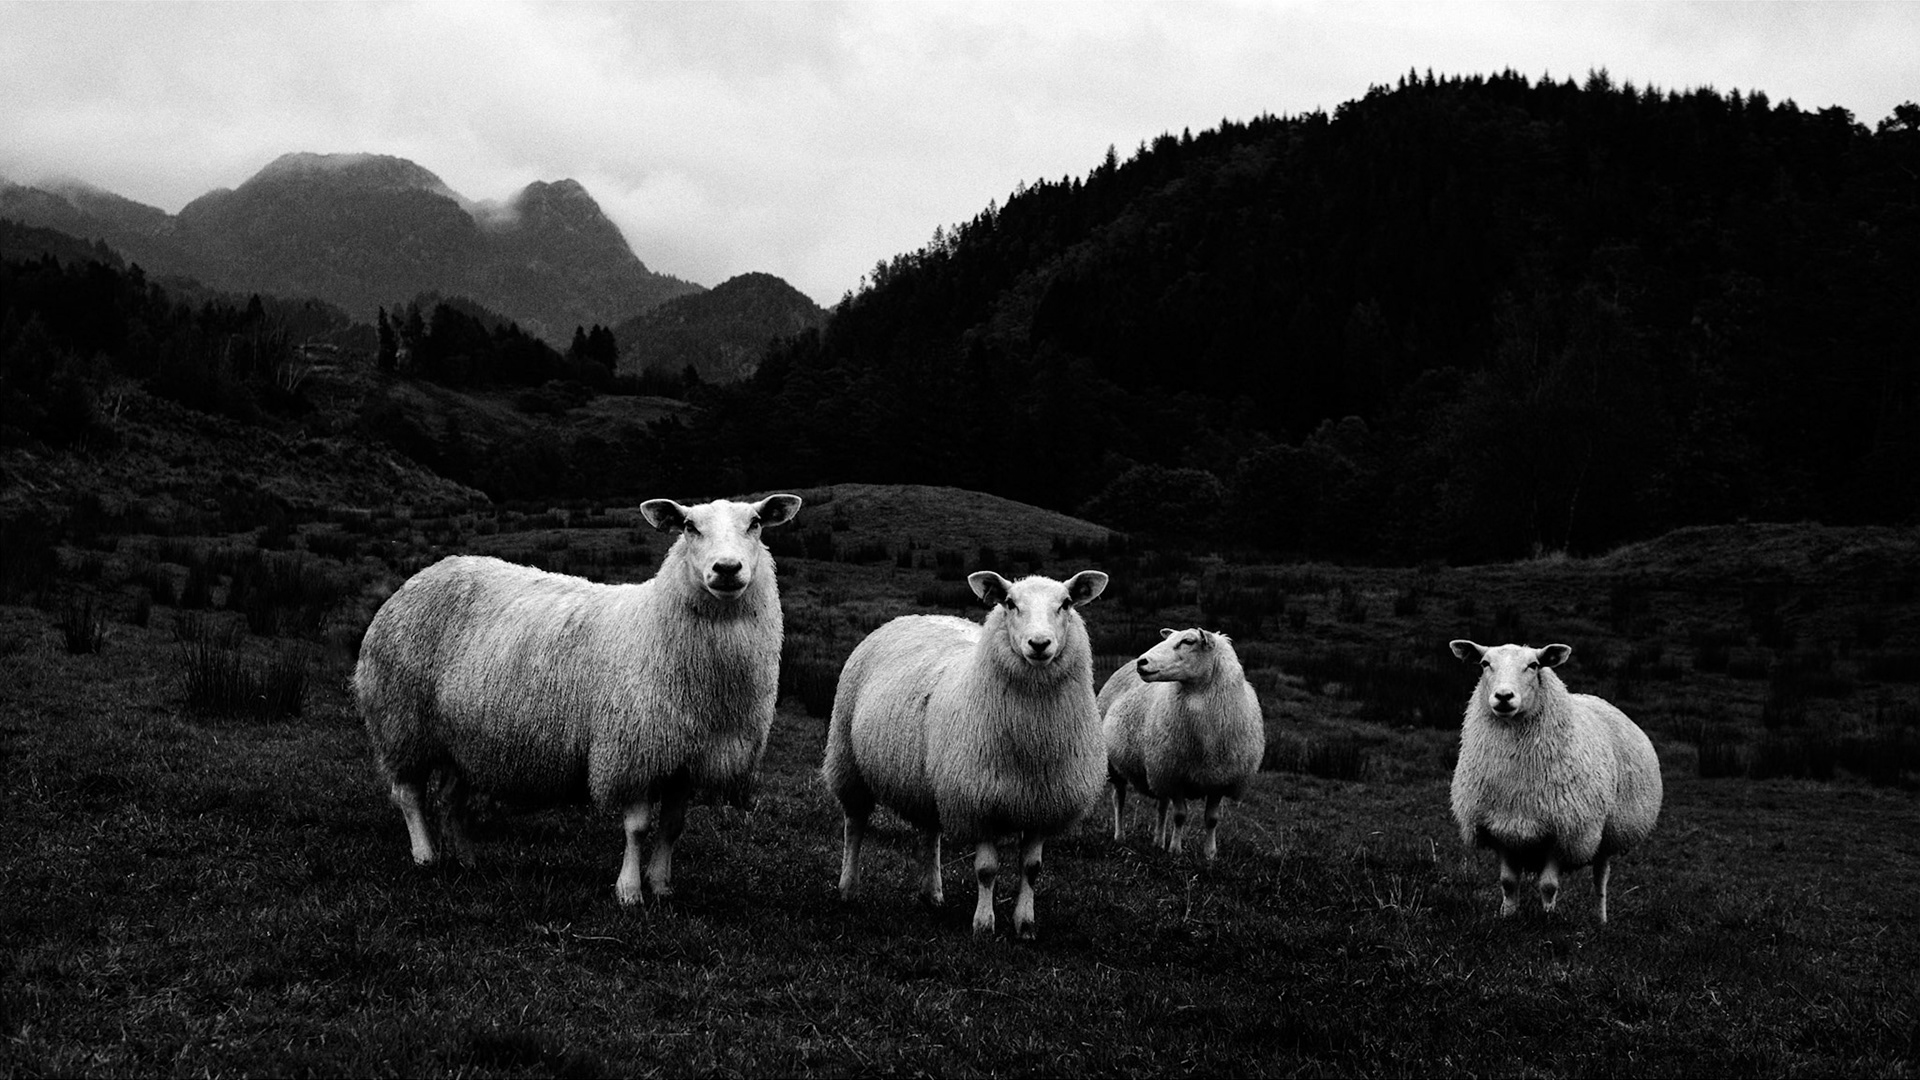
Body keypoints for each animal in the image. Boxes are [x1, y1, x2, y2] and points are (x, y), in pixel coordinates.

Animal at [353, 492, 802, 905]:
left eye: (756, 523)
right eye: (690, 527)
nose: (726, 569)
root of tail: (426, 572)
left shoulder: (685, 760)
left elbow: (673, 827)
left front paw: (661, 886)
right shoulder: (630, 749)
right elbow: (637, 828)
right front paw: (629, 891)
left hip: (459, 736)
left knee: (449, 799)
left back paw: (465, 859)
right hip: (401, 716)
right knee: (408, 793)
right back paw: (425, 856)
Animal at [821, 569, 1110, 939]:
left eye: (1067, 603)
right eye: (1010, 603)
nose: (1039, 644)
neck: (1032, 739)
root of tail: (914, 616)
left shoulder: (1042, 806)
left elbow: (1032, 868)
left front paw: (1025, 924)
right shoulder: (979, 801)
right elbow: (986, 869)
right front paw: (984, 925)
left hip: (931, 781)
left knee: (930, 833)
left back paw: (931, 894)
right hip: (847, 758)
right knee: (854, 825)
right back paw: (848, 888)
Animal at [1098, 627, 1265, 860]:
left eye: (1188, 641)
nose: (1142, 662)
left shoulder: (1218, 780)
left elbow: (1212, 819)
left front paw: (1210, 854)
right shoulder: (1175, 775)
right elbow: (1180, 815)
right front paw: (1175, 850)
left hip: (1157, 767)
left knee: (1161, 806)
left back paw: (1158, 841)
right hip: (1118, 766)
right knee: (1119, 798)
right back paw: (1120, 836)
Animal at [1448, 639, 1663, 922]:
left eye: (1533, 665)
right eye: (1485, 664)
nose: (1504, 696)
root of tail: (1595, 698)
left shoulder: (1562, 831)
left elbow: (1548, 886)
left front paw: (1548, 919)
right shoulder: (1501, 828)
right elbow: (1508, 882)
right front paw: (1507, 916)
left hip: (1609, 832)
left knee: (1601, 878)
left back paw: (1601, 920)